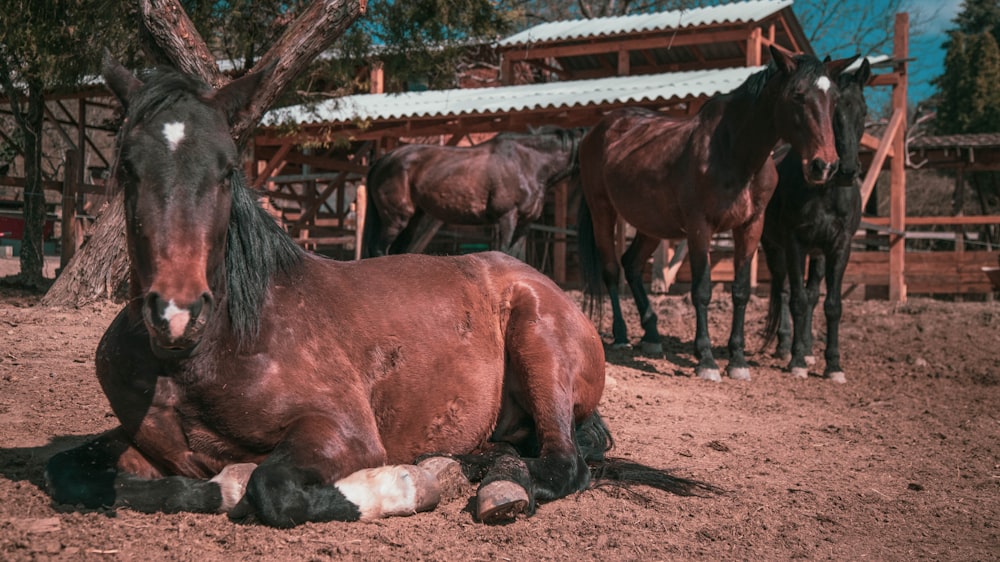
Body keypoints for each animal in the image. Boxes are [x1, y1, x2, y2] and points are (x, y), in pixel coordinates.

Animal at [360, 126, 584, 258]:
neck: (527, 163)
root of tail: (383, 160)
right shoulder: (507, 218)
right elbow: (504, 252)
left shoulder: (525, 224)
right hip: (395, 219)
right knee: (380, 249)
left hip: (412, 220)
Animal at [580, 47, 852, 380]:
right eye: (797, 95)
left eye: (834, 99)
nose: (824, 166)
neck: (736, 153)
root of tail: (601, 129)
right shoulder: (700, 227)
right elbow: (702, 290)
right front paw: (706, 360)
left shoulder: (750, 227)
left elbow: (740, 291)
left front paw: (737, 360)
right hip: (602, 210)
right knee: (611, 269)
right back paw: (621, 335)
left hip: (652, 224)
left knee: (631, 264)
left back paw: (653, 336)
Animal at [760, 58, 872, 380]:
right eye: (834, 113)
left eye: (863, 110)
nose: (846, 170)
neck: (825, 191)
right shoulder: (794, 242)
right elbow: (795, 299)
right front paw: (796, 359)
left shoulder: (839, 246)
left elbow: (831, 304)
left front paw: (832, 364)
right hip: (774, 247)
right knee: (784, 290)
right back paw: (786, 346)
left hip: (818, 253)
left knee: (810, 294)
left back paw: (808, 349)